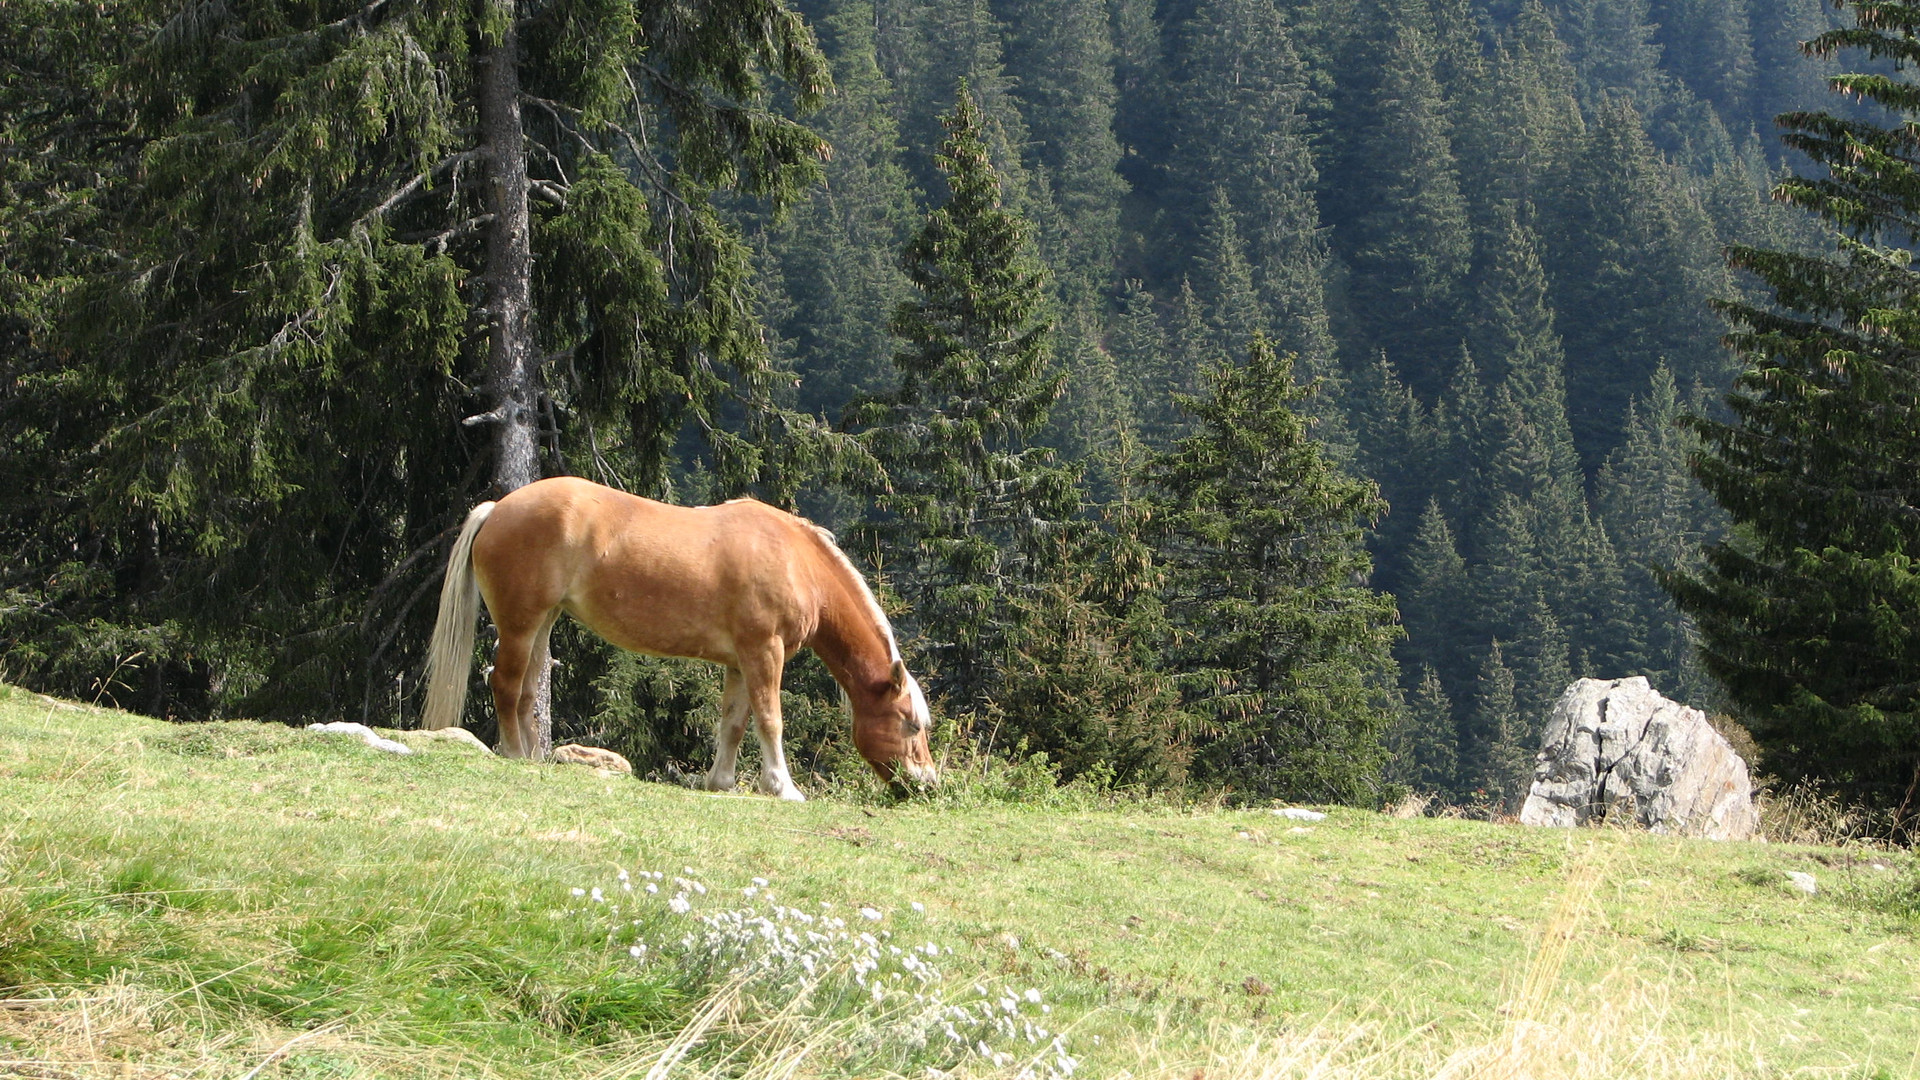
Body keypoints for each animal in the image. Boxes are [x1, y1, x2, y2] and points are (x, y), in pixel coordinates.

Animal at [420, 474, 936, 795]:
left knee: (527, 691)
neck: (796, 561)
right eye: (910, 724)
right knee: (505, 684)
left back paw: (530, 757)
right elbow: (770, 720)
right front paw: (782, 787)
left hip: (543, 621)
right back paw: (512, 753)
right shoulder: (765, 652)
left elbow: (733, 722)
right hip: (520, 622)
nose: (928, 783)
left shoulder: (741, 661)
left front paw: (720, 783)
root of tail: (498, 509)